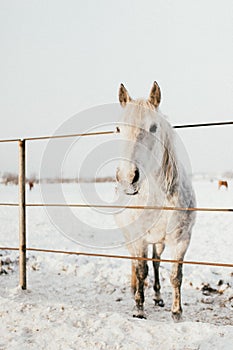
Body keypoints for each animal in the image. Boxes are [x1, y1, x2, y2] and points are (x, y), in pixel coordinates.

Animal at [114, 82, 196, 320]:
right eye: (118, 129)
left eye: (153, 128)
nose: (128, 177)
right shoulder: (139, 238)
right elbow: (142, 270)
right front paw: (139, 308)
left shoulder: (181, 240)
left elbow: (176, 275)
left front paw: (177, 312)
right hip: (130, 237)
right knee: (135, 263)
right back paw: (135, 291)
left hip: (159, 241)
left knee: (156, 262)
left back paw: (158, 296)